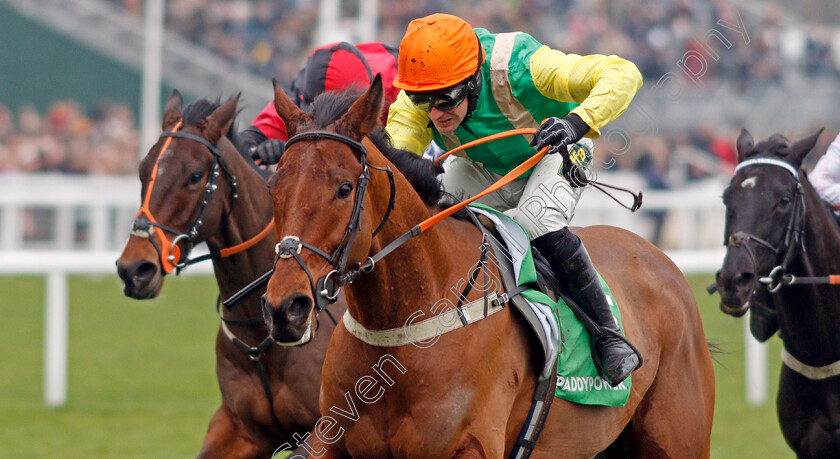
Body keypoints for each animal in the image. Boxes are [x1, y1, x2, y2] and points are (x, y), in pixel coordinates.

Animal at [115, 90, 344, 459]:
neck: (263, 332)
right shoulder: (240, 428)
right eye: (142, 171)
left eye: (195, 176)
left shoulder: (331, 424)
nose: (135, 269)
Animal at [260, 77, 712, 458]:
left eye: (343, 188)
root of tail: (659, 258)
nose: (286, 308)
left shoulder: (471, 446)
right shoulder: (330, 441)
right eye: (273, 187)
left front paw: (561, 130)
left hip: (677, 438)